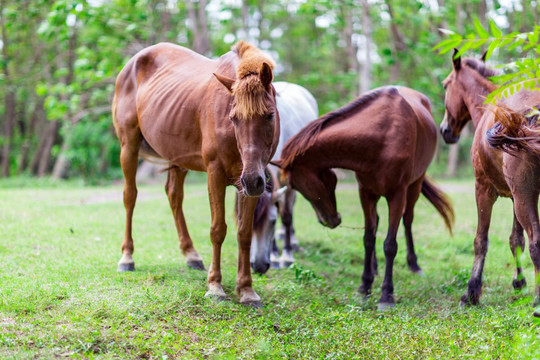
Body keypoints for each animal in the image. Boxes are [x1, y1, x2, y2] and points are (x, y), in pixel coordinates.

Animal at [112, 42, 280, 306]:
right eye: (233, 118)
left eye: (270, 115)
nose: (252, 180)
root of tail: (133, 62)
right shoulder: (216, 174)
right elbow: (218, 230)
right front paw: (215, 286)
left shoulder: (250, 182)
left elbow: (244, 233)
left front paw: (246, 289)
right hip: (128, 146)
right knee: (130, 196)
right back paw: (127, 258)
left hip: (178, 155)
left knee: (174, 195)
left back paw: (191, 255)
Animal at [247, 81, 318, 272]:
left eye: (271, 222)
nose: (258, 266)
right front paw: (274, 255)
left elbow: (285, 216)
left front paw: (286, 256)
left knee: (290, 209)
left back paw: (292, 241)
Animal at [274, 86, 456, 308]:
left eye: (294, 185)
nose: (330, 221)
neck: (381, 136)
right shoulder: (366, 193)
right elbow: (368, 238)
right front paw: (364, 286)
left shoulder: (397, 195)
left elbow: (390, 245)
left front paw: (386, 295)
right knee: (376, 223)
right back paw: (375, 267)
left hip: (415, 185)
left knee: (408, 220)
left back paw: (414, 265)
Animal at [438, 51, 540, 316]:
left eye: (445, 85)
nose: (444, 130)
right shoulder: (515, 197)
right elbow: (516, 241)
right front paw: (519, 282)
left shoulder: (483, 189)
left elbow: (480, 241)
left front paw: (471, 292)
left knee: (537, 243)